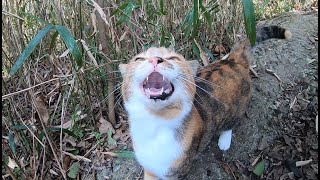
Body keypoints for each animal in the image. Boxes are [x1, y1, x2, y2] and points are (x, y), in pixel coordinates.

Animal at [119, 25, 292, 179]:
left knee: (231, 122)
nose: (155, 59)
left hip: (237, 107)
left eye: (173, 58)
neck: (154, 123)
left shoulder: (175, 172)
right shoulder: (151, 170)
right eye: (139, 59)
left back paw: (224, 140)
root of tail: (232, 60)